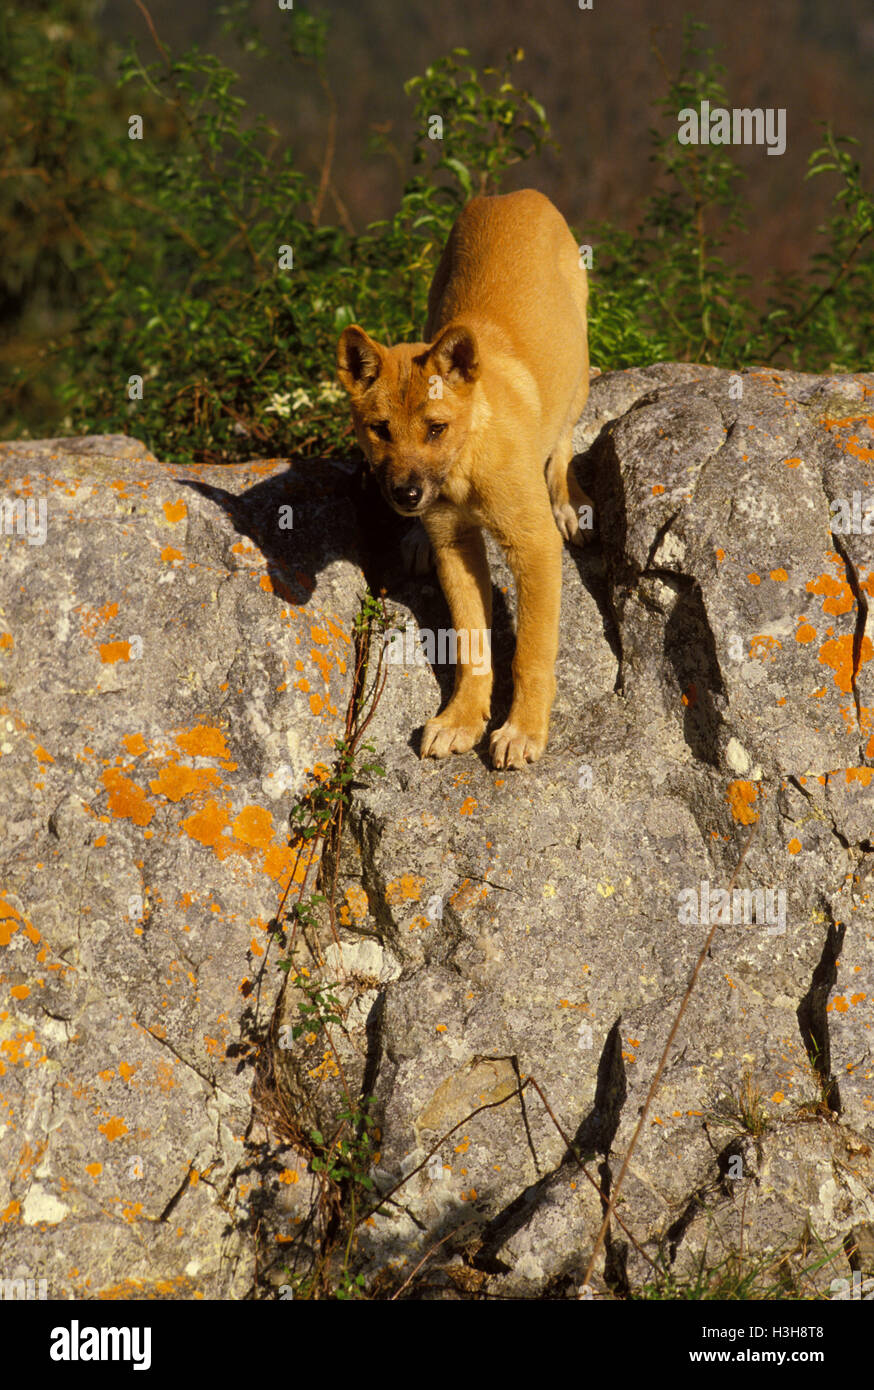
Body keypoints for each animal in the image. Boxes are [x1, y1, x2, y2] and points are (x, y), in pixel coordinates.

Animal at [337, 187, 589, 772]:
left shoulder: (533, 545)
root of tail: (518, 193)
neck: (464, 467)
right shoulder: (455, 543)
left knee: (565, 439)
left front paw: (523, 729)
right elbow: (472, 645)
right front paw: (461, 719)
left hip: (579, 361)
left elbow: (531, 653)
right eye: (379, 429)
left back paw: (569, 499)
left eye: (436, 427)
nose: (407, 494)